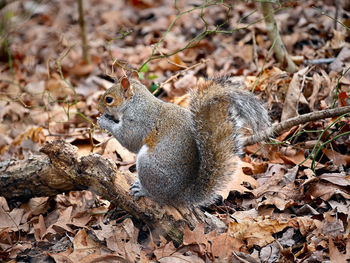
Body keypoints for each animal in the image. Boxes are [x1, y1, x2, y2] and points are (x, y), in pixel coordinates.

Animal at [97, 77, 270, 207]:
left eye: (109, 99)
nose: (97, 108)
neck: (135, 103)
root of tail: (181, 194)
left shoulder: (139, 122)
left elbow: (129, 139)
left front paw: (104, 122)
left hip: (148, 166)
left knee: (156, 196)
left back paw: (143, 190)